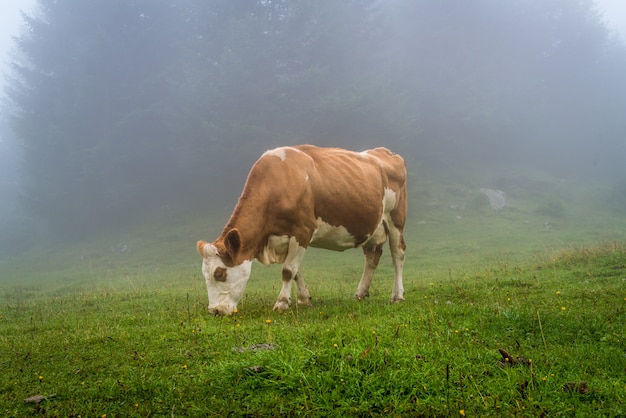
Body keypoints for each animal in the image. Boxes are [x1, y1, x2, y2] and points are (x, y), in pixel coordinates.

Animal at [197, 145, 408, 316]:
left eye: (219, 274)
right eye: (204, 275)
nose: (215, 310)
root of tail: (385, 152)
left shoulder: (303, 231)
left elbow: (288, 270)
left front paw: (282, 303)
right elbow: (296, 270)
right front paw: (303, 299)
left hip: (395, 218)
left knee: (398, 254)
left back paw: (397, 295)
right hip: (373, 227)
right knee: (372, 257)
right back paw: (360, 293)